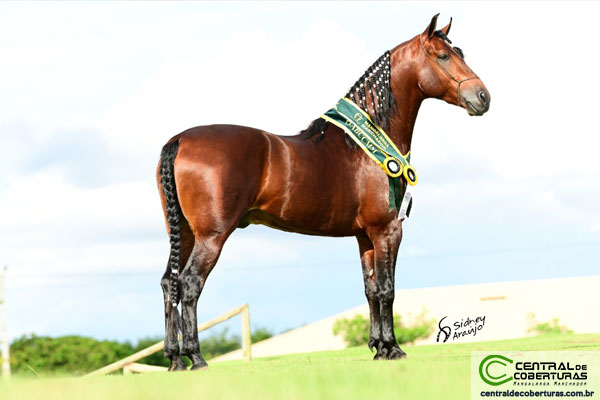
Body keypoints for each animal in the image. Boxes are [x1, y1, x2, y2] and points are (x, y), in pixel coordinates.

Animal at [157, 15, 490, 372]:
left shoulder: (364, 236)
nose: (482, 96)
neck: (364, 144)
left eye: (459, 52)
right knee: (190, 283)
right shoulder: (387, 231)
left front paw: (378, 348)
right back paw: (196, 357)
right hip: (211, 236)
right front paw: (393, 348)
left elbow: (371, 289)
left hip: (184, 233)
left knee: (169, 283)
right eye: (443, 56)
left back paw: (174, 359)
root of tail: (178, 141)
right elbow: (387, 289)